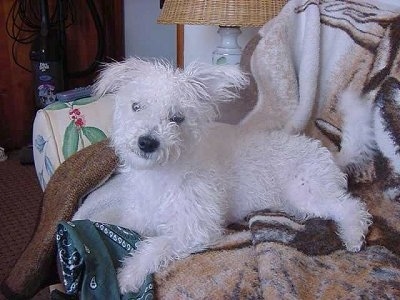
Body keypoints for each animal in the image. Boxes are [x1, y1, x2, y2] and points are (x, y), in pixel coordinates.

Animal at [73, 58, 374, 292]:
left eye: (177, 118)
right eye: (136, 106)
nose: (147, 142)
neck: (162, 174)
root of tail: (330, 154)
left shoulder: (195, 227)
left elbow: (155, 246)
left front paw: (128, 276)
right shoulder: (139, 218)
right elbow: (130, 227)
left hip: (307, 191)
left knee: (351, 207)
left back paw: (353, 236)